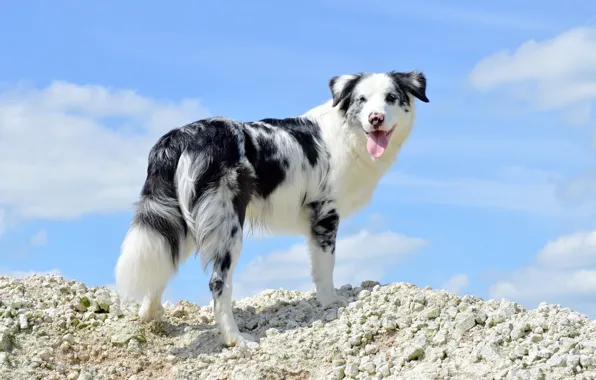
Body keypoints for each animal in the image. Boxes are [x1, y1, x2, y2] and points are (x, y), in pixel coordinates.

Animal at [114, 68, 428, 348]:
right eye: (361, 99)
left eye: (390, 97)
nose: (376, 118)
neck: (347, 134)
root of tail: (180, 136)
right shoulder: (324, 213)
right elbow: (325, 268)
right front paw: (330, 303)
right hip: (228, 228)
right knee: (218, 283)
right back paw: (236, 339)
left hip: (184, 218)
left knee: (164, 258)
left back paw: (151, 315)